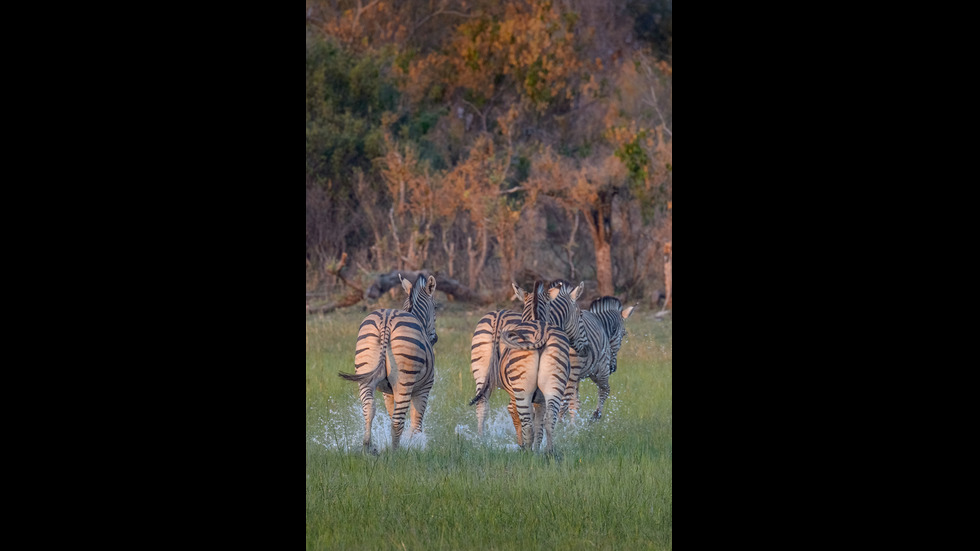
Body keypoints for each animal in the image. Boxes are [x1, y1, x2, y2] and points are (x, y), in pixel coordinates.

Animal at [340, 274, 440, 454]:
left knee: (369, 409)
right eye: (435, 307)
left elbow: (390, 413)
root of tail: (386, 320)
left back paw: (368, 447)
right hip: (404, 381)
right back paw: (396, 453)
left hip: (366, 375)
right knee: (398, 421)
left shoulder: (388, 392)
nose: (434, 339)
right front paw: (417, 446)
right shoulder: (424, 388)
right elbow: (416, 423)